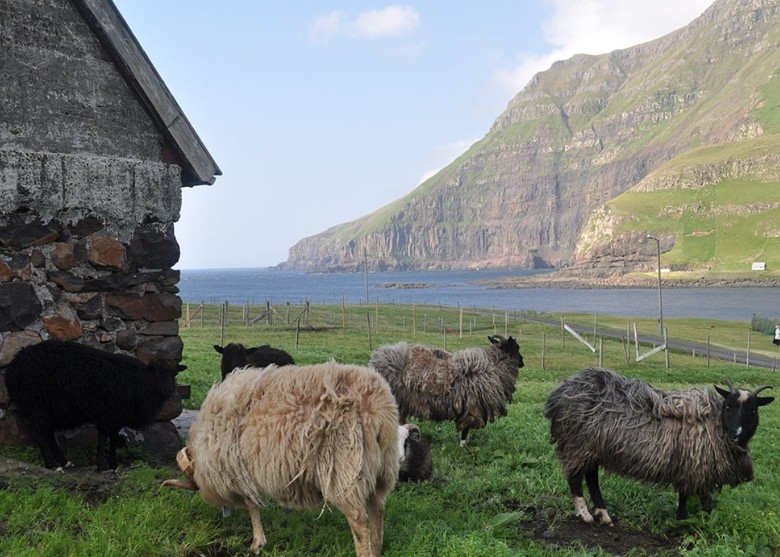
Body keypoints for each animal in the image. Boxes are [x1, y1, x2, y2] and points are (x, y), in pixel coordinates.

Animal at [4, 338, 184, 470]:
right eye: (157, 372)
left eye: (174, 373)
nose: (169, 391)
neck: (138, 381)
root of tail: (15, 363)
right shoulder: (106, 414)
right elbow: (103, 438)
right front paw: (102, 465)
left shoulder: (116, 417)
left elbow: (113, 439)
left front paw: (113, 463)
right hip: (36, 406)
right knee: (41, 436)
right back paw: (52, 465)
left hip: (49, 409)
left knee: (48, 434)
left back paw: (64, 461)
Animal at [165, 360, 408, 556]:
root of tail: (380, 411)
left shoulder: (239, 469)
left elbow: (252, 504)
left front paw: (257, 543)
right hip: (383, 470)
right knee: (378, 511)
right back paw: (376, 548)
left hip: (343, 471)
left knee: (360, 520)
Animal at [368, 334, 524, 444]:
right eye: (516, 348)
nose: (523, 362)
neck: (493, 365)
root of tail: (376, 359)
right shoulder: (472, 407)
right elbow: (465, 430)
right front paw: (463, 446)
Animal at [544, 368, 772, 524]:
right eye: (728, 406)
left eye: (752, 410)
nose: (736, 433)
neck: (716, 425)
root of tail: (560, 392)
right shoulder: (693, 466)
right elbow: (691, 497)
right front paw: (685, 521)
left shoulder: (692, 468)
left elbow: (695, 497)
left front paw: (698, 520)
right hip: (578, 444)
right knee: (575, 479)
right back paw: (586, 516)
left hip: (594, 447)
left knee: (591, 478)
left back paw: (604, 515)